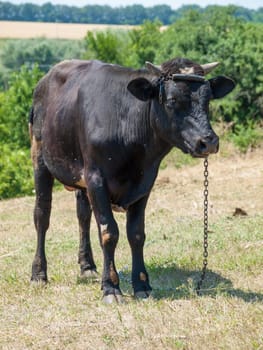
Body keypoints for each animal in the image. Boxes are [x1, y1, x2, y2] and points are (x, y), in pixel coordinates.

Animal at [29, 58, 235, 304]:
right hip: (40, 159)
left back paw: (87, 266)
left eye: (208, 99)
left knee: (83, 216)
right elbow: (109, 232)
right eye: (172, 100)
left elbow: (136, 233)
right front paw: (111, 288)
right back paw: (39, 274)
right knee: (42, 216)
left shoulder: (145, 182)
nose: (208, 141)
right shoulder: (96, 178)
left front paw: (142, 284)